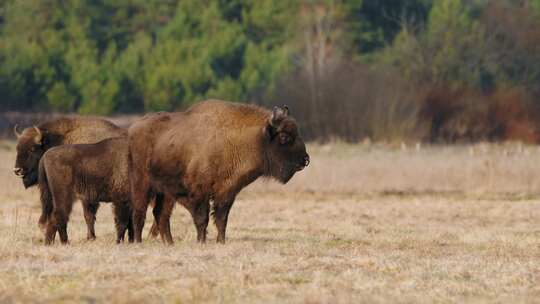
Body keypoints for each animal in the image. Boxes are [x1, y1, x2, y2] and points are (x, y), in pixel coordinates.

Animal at [128, 101, 310, 243]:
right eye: (284, 137)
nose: (305, 160)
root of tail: (132, 130)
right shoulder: (200, 192)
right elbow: (202, 218)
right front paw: (201, 241)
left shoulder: (227, 191)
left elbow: (222, 219)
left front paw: (220, 241)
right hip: (142, 185)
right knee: (140, 213)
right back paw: (138, 241)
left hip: (165, 193)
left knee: (161, 215)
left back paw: (169, 243)